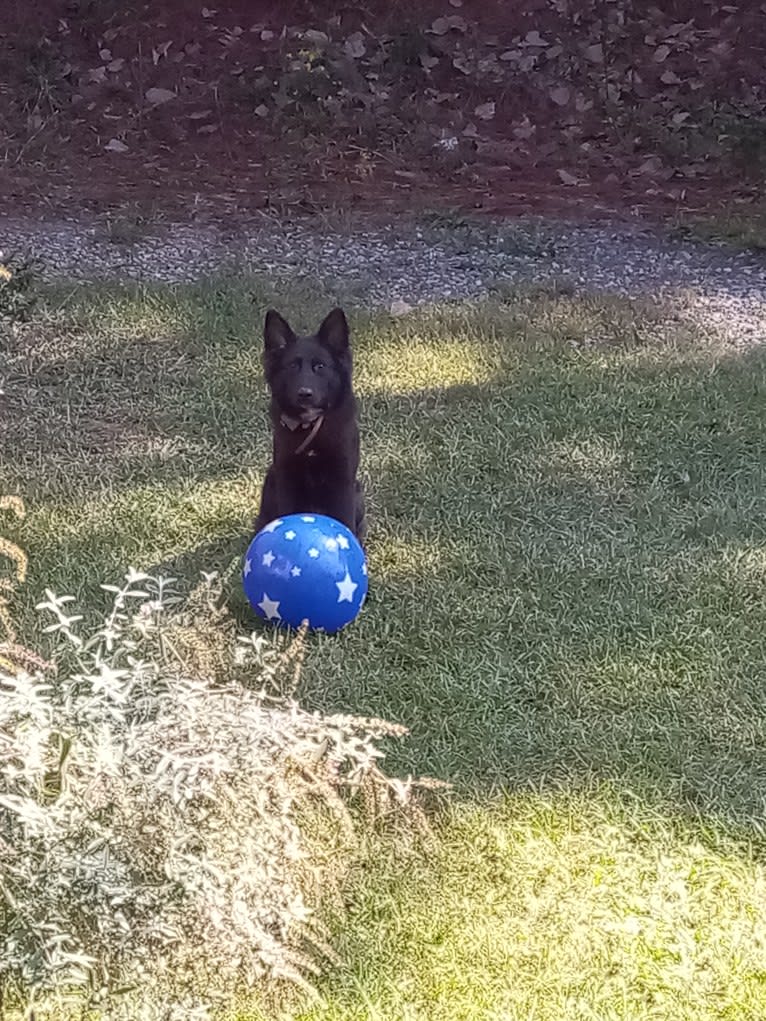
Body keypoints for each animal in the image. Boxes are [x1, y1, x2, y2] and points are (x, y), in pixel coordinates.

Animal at [253, 304, 367, 539]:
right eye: (292, 366)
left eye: (320, 367)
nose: (305, 394)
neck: (311, 427)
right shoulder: (286, 477)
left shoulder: (343, 479)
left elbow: (346, 520)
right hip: (271, 480)